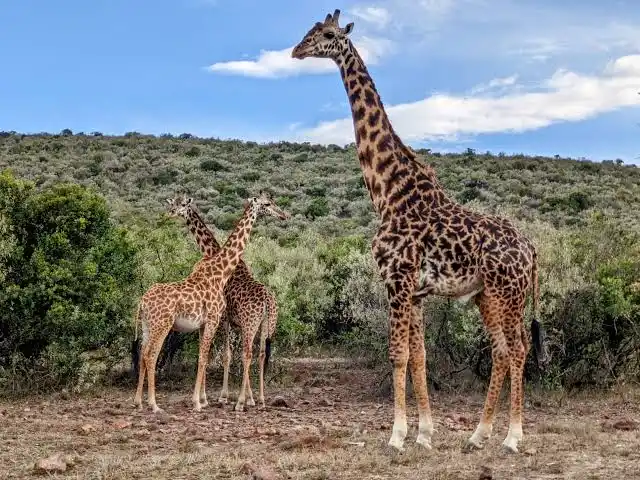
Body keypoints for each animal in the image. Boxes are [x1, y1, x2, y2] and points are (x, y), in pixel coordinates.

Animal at [133, 192, 289, 413]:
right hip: (163, 325)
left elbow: (205, 357)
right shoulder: (217, 320)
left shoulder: (209, 322)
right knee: (150, 355)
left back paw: (140, 402)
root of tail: (142, 301)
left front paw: (205, 399)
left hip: (150, 325)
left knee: (143, 354)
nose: (284, 215)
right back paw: (154, 404)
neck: (220, 270)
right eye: (267, 204)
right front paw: (201, 401)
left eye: (180, 205)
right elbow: (209, 357)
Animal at [291, 9, 549, 453]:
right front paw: (424, 433)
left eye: (324, 34)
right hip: (486, 296)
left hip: (508, 292)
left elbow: (397, 354)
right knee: (501, 351)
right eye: (309, 32)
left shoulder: (396, 279)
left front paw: (396, 436)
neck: (388, 192)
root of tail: (531, 249)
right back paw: (478, 435)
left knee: (518, 349)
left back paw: (512, 437)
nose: (296, 50)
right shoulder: (416, 290)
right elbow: (419, 355)